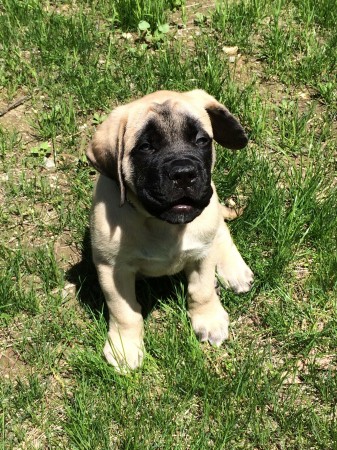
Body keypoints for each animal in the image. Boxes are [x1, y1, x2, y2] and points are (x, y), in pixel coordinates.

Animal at [86, 89, 252, 370]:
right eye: (145, 147)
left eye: (201, 140)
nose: (184, 173)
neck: (162, 224)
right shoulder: (112, 269)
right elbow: (124, 311)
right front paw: (124, 347)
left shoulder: (202, 254)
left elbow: (202, 291)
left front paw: (208, 319)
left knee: (221, 231)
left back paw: (234, 269)